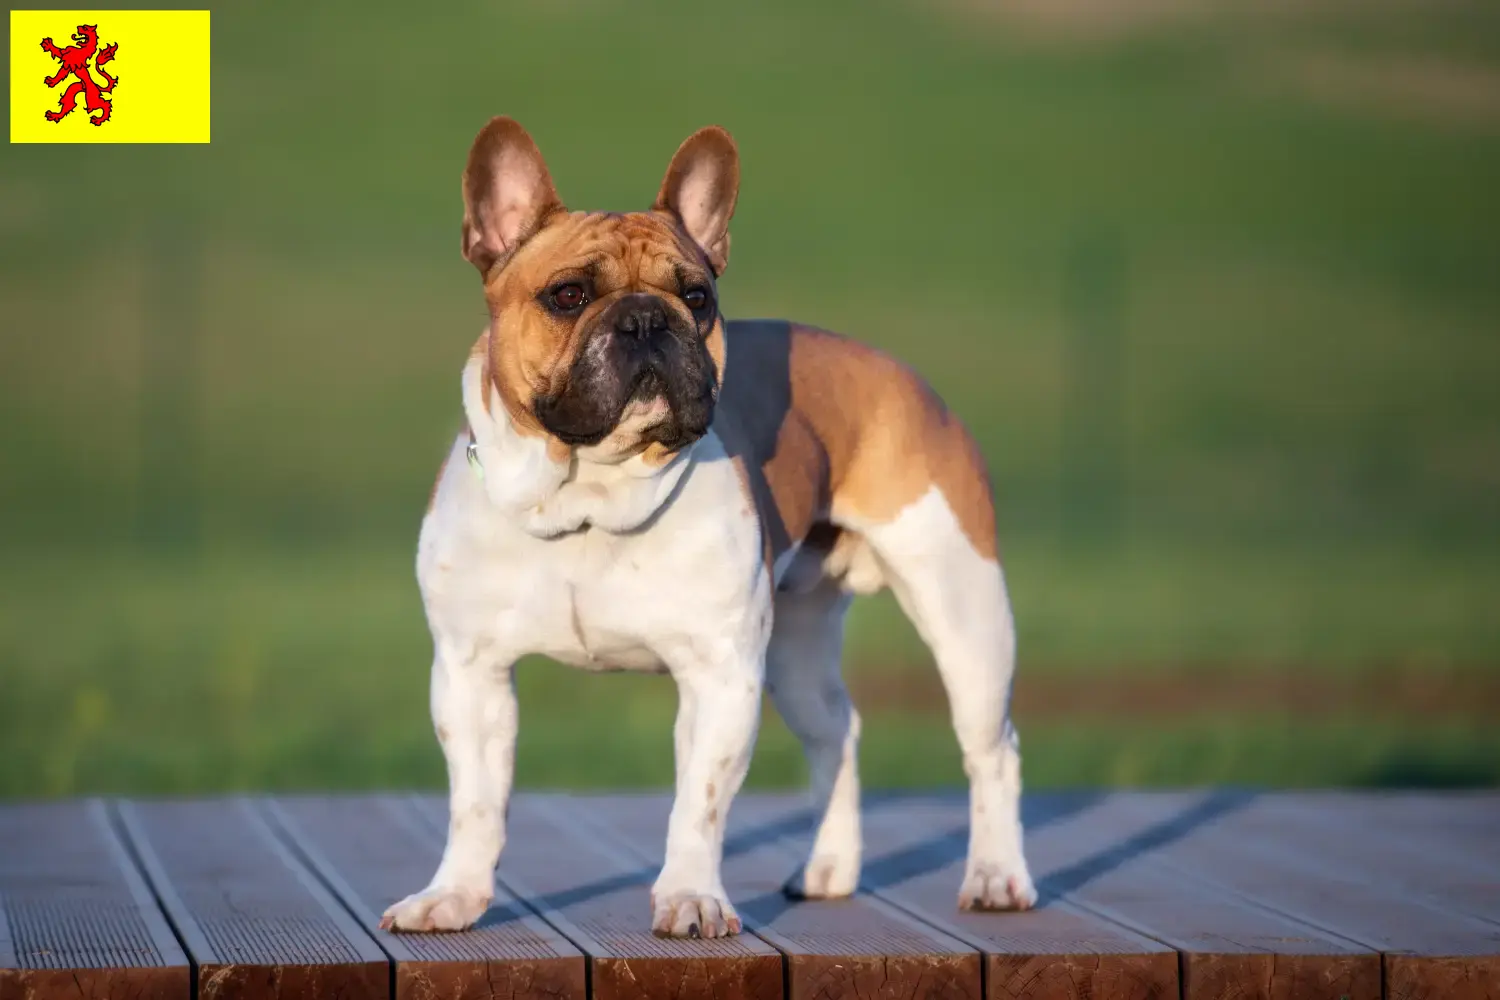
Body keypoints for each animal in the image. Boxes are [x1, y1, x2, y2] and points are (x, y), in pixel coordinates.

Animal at [378, 117, 1032, 941]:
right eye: (568, 295)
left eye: (696, 296)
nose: (646, 318)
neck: (587, 500)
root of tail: (900, 373)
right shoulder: (471, 674)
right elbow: (475, 804)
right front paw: (453, 895)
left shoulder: (719, 675)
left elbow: (699, 803)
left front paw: (691, 897)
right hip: (796, 649)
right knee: (837, 732)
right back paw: (828, 870)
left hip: (964, 613)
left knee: (991, 749)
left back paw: (997, 875)